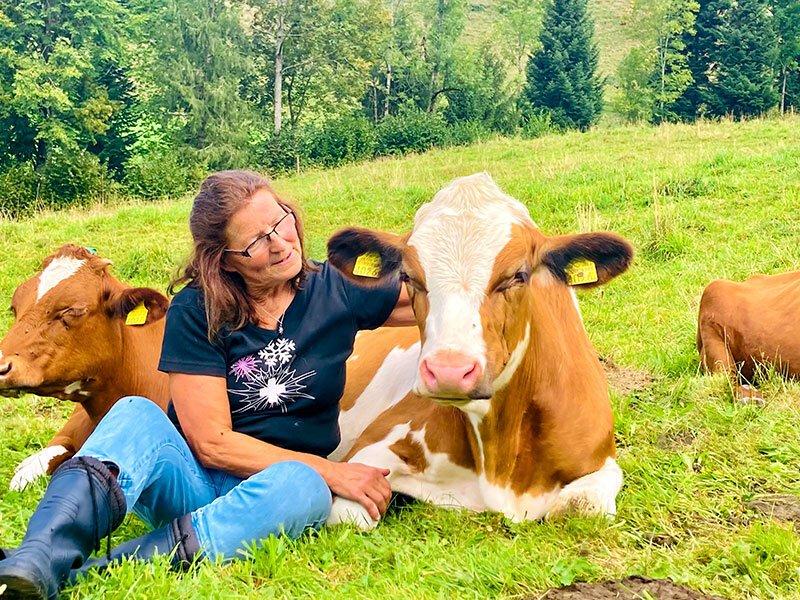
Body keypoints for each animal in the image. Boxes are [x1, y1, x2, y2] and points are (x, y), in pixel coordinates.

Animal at [324, 171, 632, 528]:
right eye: (408, 277)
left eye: (518, 275)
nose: (449, 372)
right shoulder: (371, 445)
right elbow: (347, 513)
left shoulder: (601, 459)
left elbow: (583, 507)